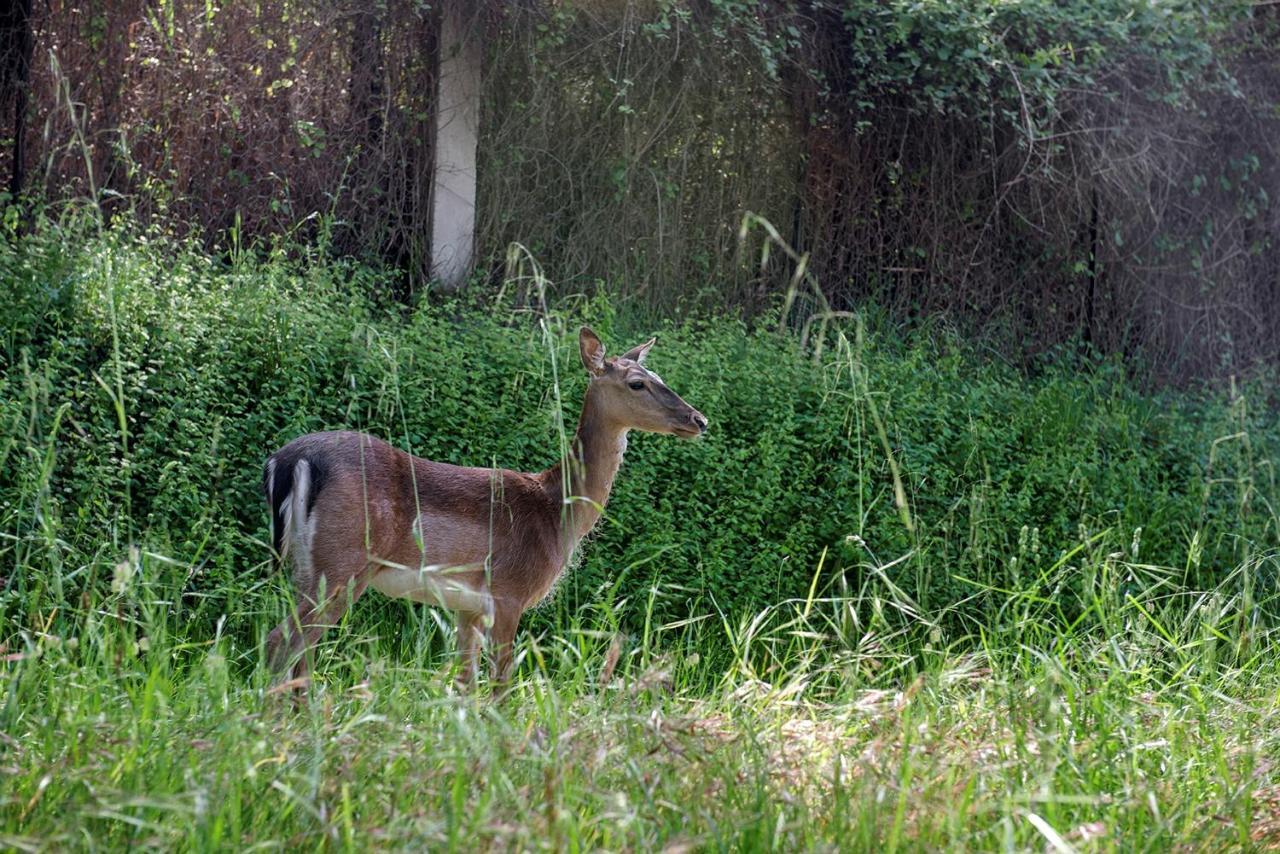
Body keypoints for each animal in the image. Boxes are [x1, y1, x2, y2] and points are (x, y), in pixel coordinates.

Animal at [261, 323, 711, 691]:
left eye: (660, 377)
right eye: (637, 383)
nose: (699, 419)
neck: (557, 512)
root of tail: (288, 461)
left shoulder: (468, 607)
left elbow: (464, 683)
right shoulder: (509, 593)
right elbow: (500, 686)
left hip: (307, 565)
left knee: (297, 652)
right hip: (342, 563)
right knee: (283, 642)